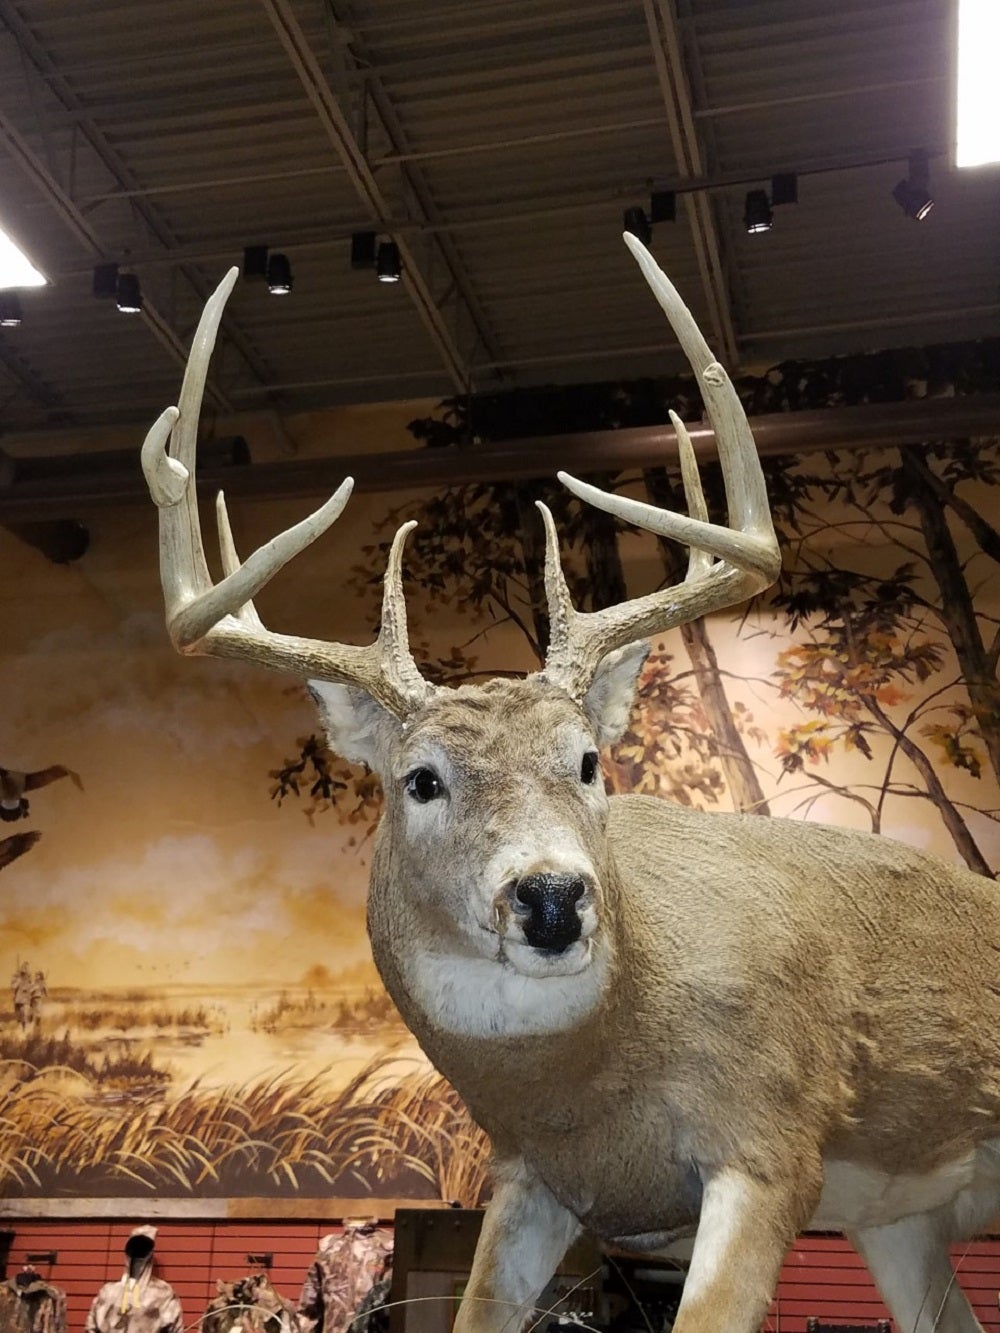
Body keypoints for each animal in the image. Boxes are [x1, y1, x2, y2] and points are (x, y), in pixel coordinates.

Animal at [141, 235, 1000, 1333]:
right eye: (420, 778)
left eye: (589, 760)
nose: (551, 895)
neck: (595, 1077)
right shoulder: (528, 1177)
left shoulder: (769, 1143)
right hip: (900, 1220)